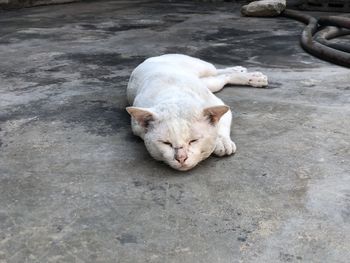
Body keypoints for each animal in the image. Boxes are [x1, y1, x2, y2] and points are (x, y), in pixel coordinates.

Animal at [127, 54, 266, 172]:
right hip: (211, 83)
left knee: (218, 72)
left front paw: (222, 141)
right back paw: (245, 73)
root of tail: (153, 57)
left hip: (203, 68)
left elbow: (221, 124)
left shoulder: (218, 104)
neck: (174, 94)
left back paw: (248, 74)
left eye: (193, 141)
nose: (181, 158)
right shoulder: (136, 127)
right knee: (221, 77)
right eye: (166, 143)